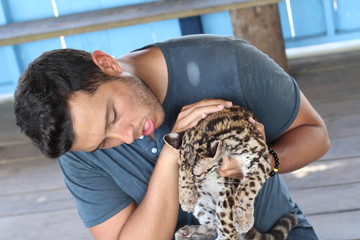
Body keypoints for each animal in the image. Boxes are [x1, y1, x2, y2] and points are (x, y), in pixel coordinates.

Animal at [164, 105, 298, 240]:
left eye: (197, 174)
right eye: (180, 167)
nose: (195, 182)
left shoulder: (258, 157)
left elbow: (247, 188)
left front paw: (243, 220)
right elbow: (182, 178)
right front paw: (186, 199)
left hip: (225, 200)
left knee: (226, 231)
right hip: (203, 204)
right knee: (213, 226)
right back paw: (189, 232)